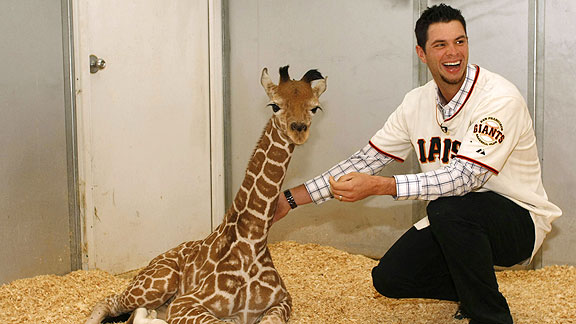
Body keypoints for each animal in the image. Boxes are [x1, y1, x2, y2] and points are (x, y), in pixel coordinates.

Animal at [85, 66, 328, 324]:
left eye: (315, 107)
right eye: (274, 105)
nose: (299, 130)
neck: (252, 242)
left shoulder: (282, 300)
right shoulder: (184, 303)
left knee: (137, 314)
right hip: (157, 284)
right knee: (109, 301)